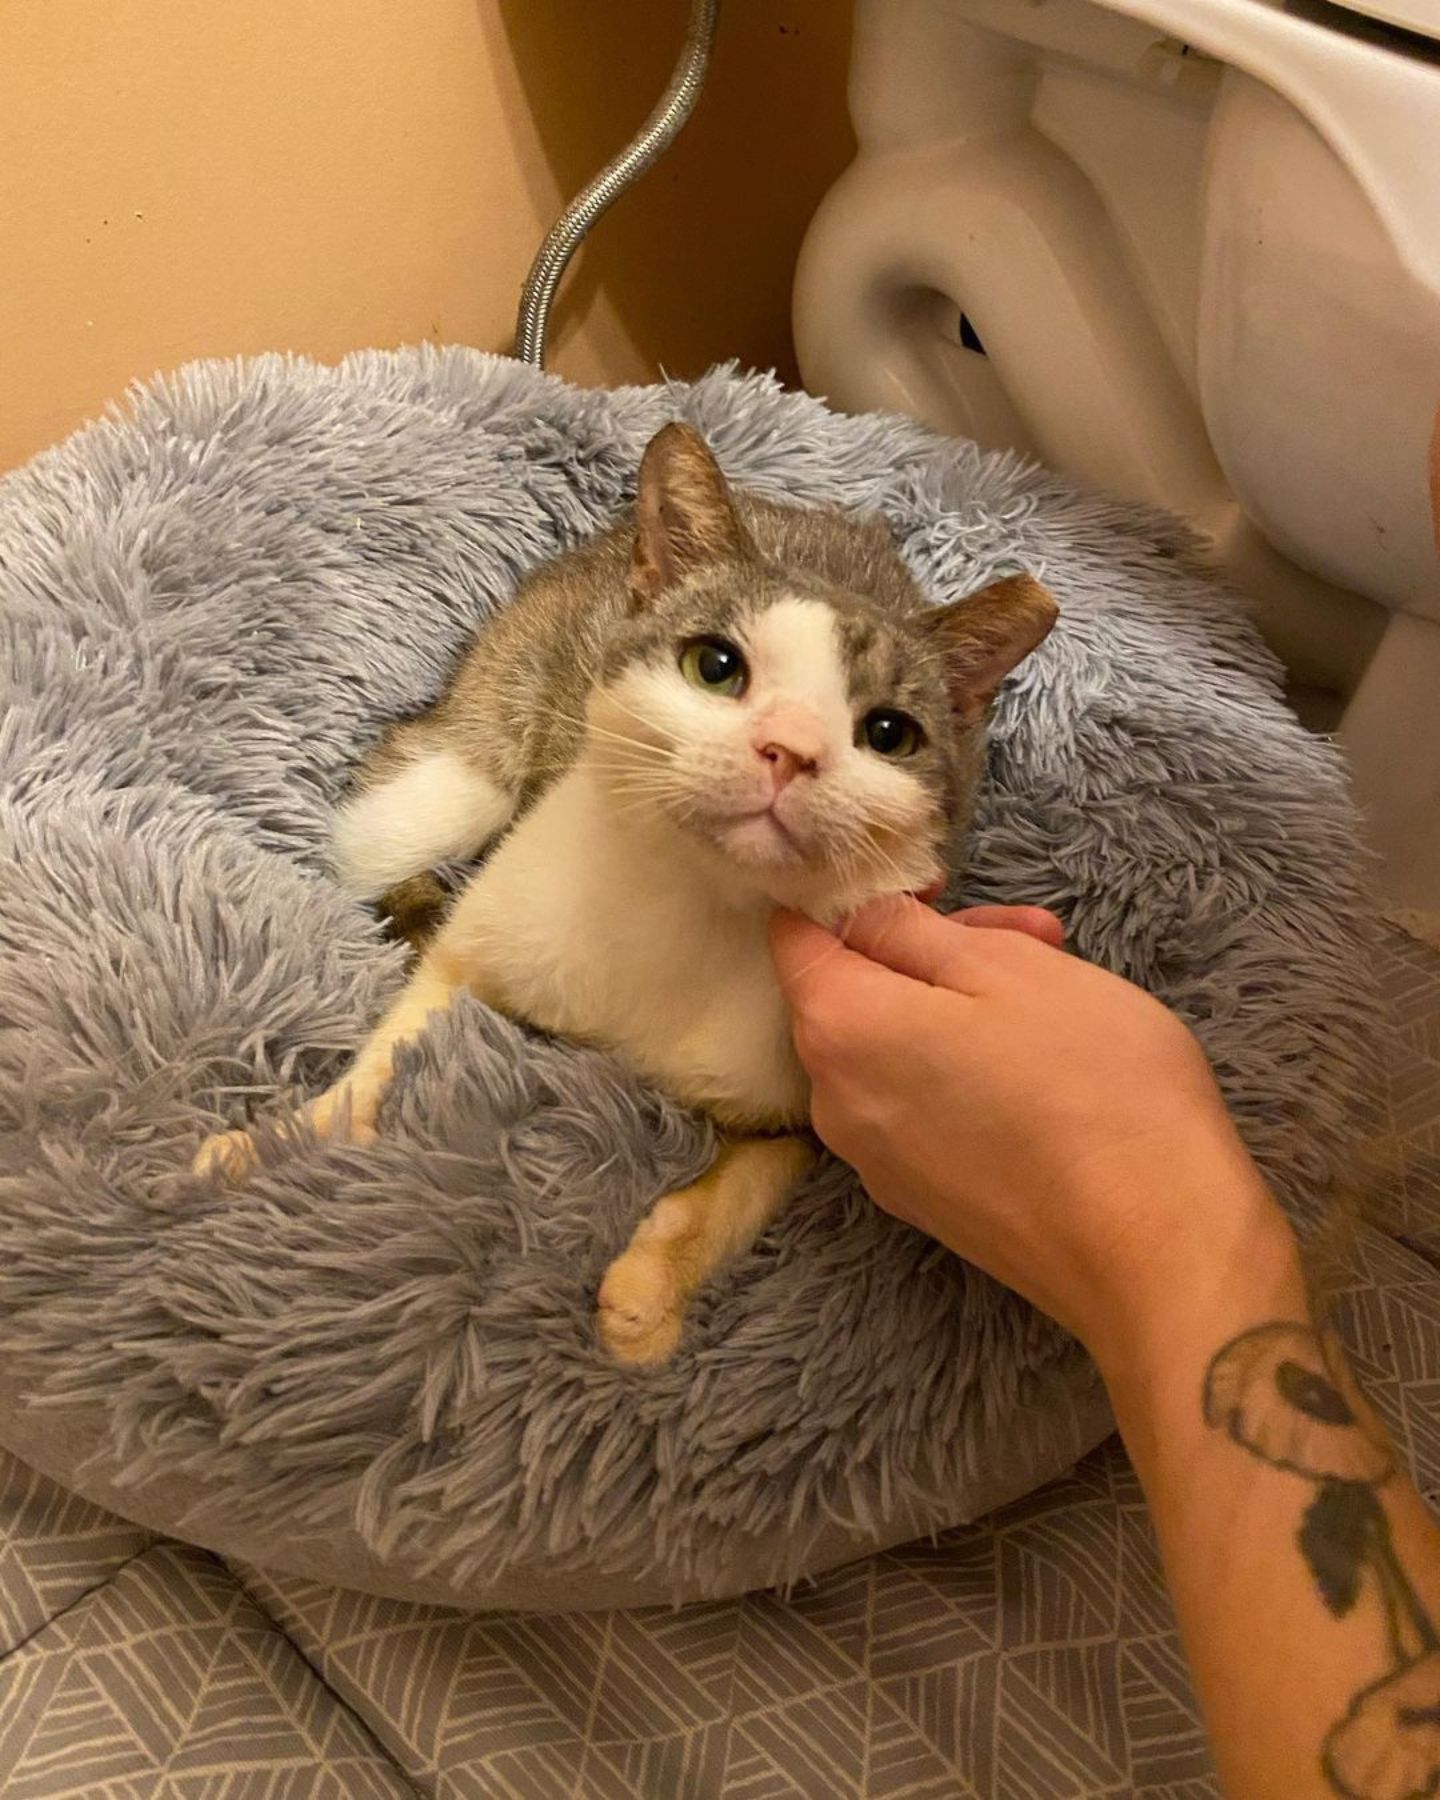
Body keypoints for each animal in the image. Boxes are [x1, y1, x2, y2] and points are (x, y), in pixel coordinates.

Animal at [194, 421, 1058, 1360]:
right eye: (716, 666)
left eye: (889, 733)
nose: (790, 749)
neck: (686, 898)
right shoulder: (488, 933)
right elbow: (389, 1052)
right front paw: (281, 1143)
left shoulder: (811, 1093)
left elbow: (738, 1189)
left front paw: (650, 1294)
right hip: (464, 762)